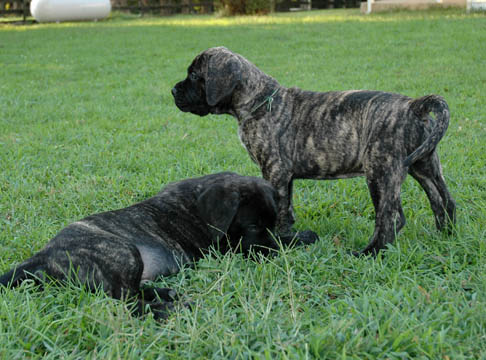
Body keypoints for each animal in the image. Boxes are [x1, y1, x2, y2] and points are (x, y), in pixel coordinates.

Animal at [173, 46, 458, 256]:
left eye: (195, 76)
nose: (173, 90)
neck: (258, 100)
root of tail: (414, 105)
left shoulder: (275, 171)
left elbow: (279, 206)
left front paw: (278, 239)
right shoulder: (285, 176)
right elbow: (287, 207)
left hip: (381, 172)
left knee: (391, 218)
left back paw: (369, 253)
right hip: (424, 164)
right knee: (443, 200)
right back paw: (446, 237)